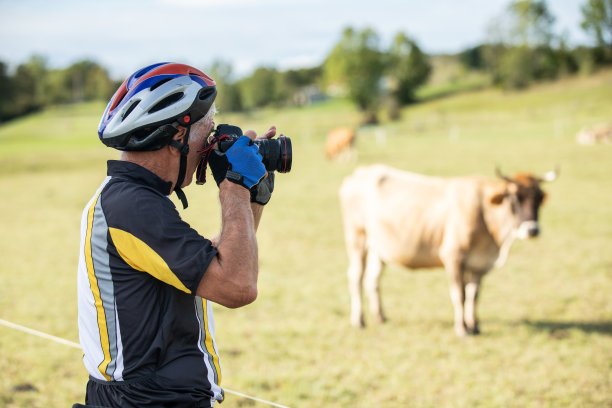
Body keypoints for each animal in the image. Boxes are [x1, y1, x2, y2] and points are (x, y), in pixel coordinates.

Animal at [340, 164, 560, 336]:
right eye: (514, 198)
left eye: (539, 198)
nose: (532, 229)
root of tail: (360, 172)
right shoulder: (453, 257)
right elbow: (459, 294)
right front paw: (462, 328)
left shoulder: (479, 263)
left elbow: (473, 295)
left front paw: (474, 325)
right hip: (357, 238)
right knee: (355, 277)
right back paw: (358, 320)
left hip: (379, 248)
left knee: (372, 279)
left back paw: (380, 316)